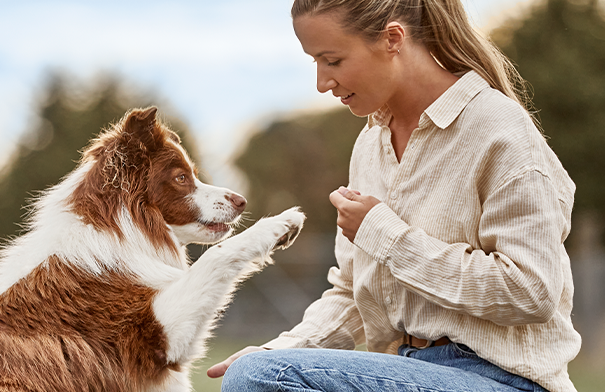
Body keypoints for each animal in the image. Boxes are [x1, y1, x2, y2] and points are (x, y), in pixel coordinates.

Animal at [0, 105, 304, 390]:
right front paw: (280, 223)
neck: (118, 235)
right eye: (181, 178)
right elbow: (216, 256)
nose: (241, 201)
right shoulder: (152, 336)